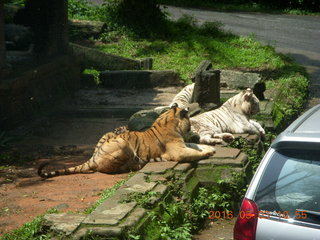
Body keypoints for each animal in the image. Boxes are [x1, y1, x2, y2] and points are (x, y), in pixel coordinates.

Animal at [39, 103, 215, 178]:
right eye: (190, 121)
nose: (191, 129)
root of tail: (93, 157)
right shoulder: (178, 151)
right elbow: (193, 152)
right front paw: (209, 153)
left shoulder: (183, 144)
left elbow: (195, 145)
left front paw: (209, 148)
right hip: (122, 143)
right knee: (105, 169)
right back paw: (134, 165)